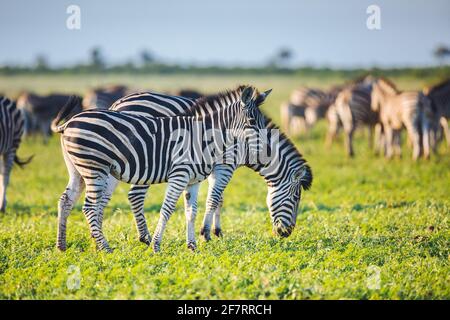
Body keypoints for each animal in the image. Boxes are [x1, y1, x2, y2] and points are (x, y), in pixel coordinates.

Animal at [53, 85, 278, 252]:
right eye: (251, 121)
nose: (268, 149)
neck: (205, 138)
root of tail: (69, 123)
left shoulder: (194, 180)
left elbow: (191, 211)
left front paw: (192, 246)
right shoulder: (181, 174)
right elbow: (168, 208)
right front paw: (156, 246)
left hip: (79, 170)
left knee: (66, 199)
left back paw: (62, 246)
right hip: (94, 168)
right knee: (90, 207)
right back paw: (105, 248)